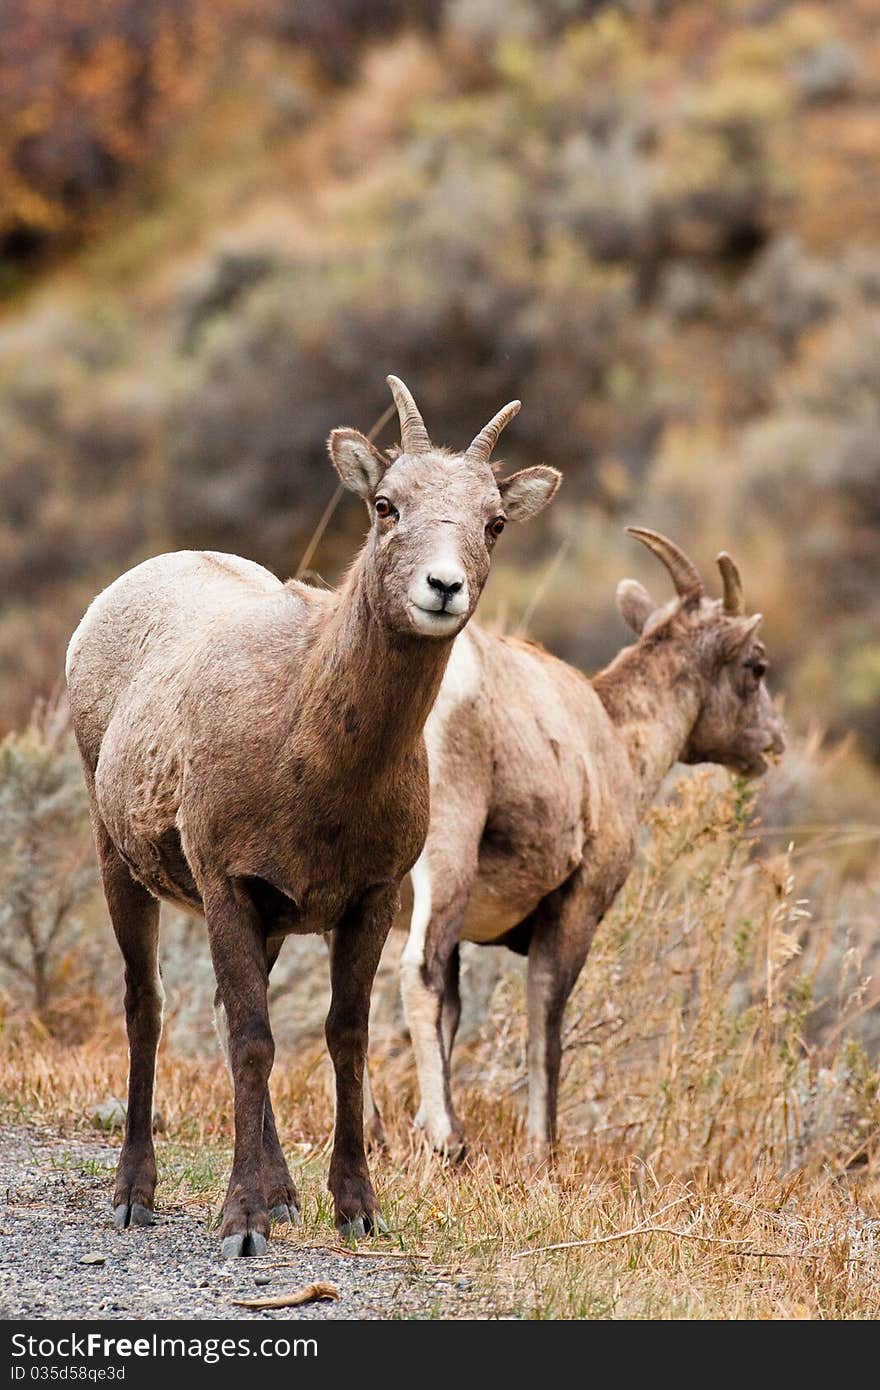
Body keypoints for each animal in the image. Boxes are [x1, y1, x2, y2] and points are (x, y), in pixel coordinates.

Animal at [65, 375, 558, 1256]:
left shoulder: (368, 899)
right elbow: (253, 1039)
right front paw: (243, 1223)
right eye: (386, 505)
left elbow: (344, 1038)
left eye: (494, 521)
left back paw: (286, 1194)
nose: (442, 588)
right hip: (118, 861)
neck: (316, 759)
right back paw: (134, 1194)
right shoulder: (228, 886)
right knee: (146, 1007)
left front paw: (354, 1208)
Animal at [386, 525, 784, 1156]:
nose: (774, 742)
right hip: (445, 860)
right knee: (418, 974)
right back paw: (450, 1140)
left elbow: (455, 1015)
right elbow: (545, 1020)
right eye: (756, 666)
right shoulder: (577, 907)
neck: (616, 739)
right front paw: (540, 1150)